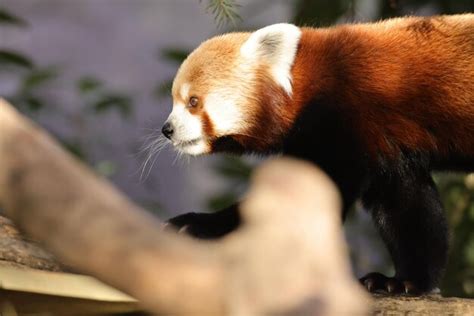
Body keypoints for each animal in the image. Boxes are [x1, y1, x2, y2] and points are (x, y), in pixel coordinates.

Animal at [162, 14, 474, 296]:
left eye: (193, 102)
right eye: (175, 101)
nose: (167, 129)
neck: (311, 81)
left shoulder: (343, 117)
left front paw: (201, 225)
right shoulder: (388, 145)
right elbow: (409, 208)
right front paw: (404, 281)